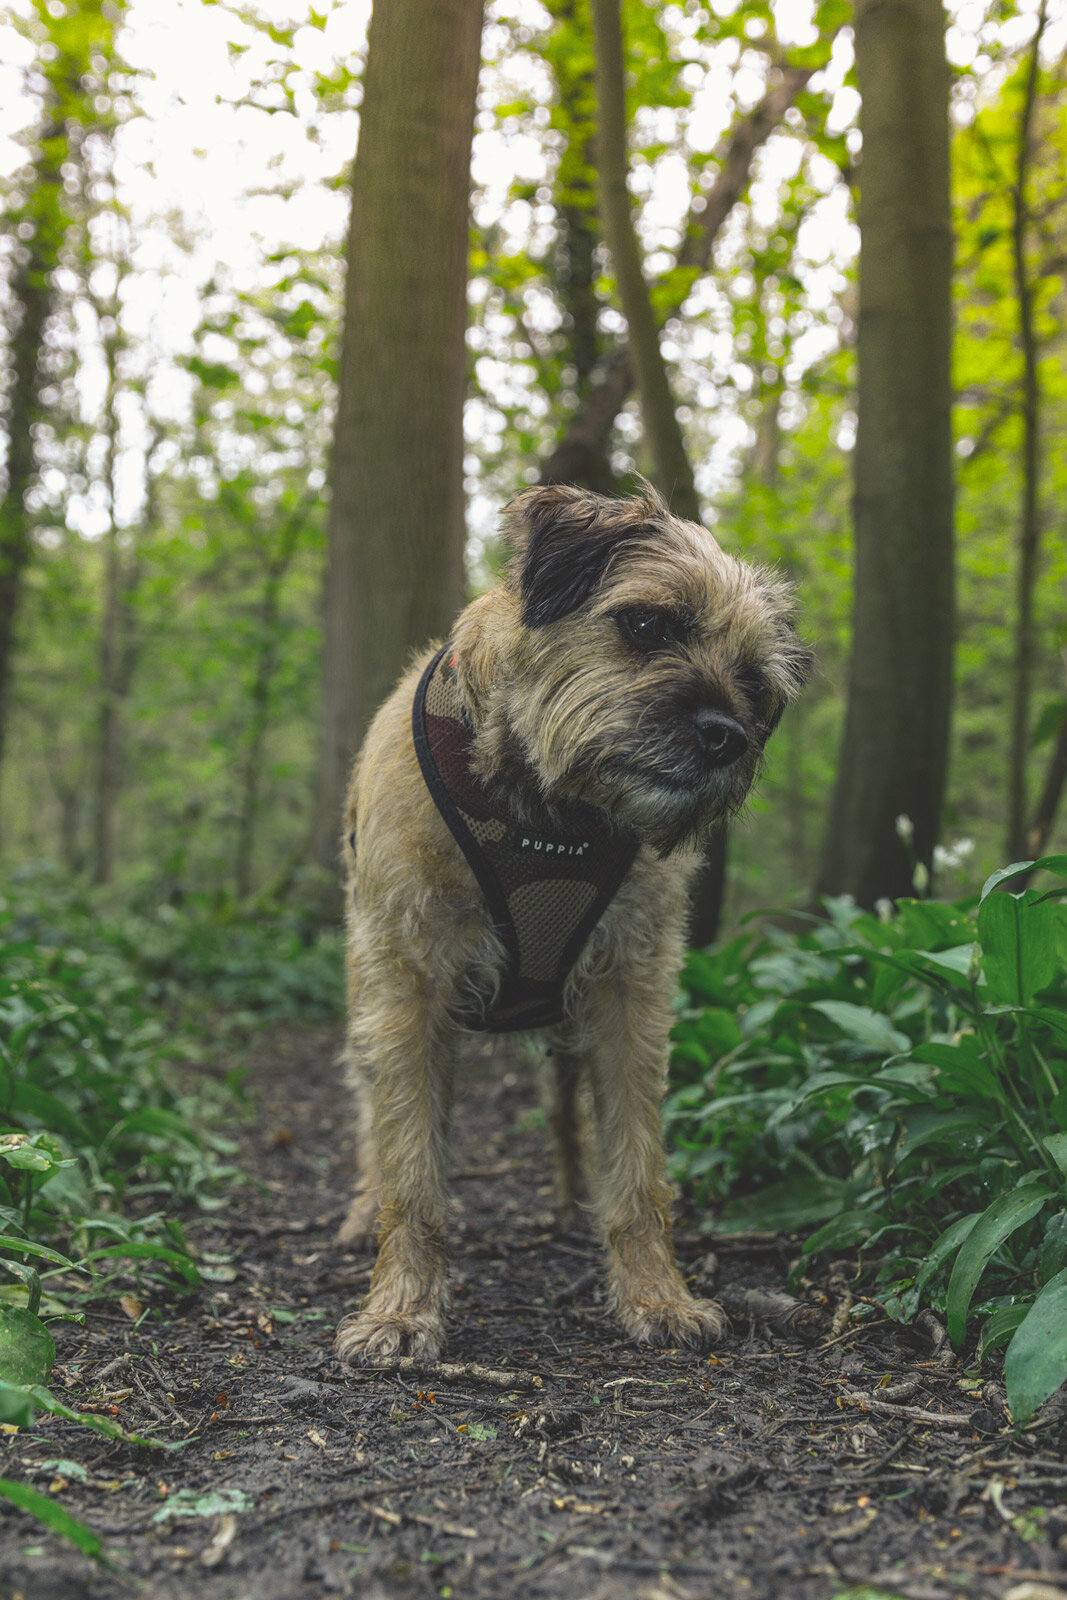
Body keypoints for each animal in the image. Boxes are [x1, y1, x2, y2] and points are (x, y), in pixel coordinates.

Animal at [334, 480, 809, 1356]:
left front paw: (655, 1296)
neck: (545, 806)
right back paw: (360, 1212)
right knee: (374, 1121)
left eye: (753, 683)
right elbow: (412, 1174)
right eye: (648, 623)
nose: (726, 736)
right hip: (368, 1004)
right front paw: (400, 1309)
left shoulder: (629, 997)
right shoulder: (407, 996)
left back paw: (567, 1202)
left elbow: (638, 1169)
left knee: (565, 1120)